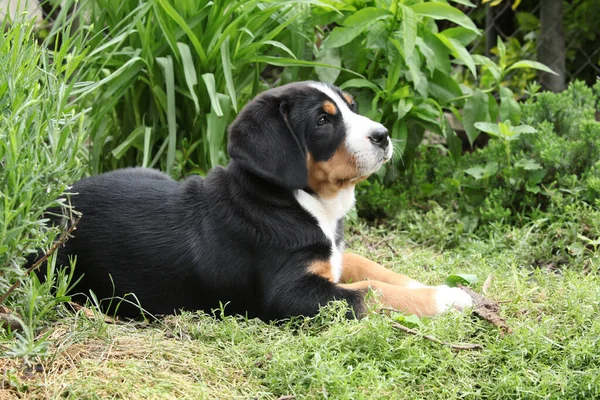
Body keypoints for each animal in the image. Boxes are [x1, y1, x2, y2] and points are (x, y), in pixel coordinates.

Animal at [43, 81, 474, 318]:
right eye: (323, 120)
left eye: (352, 107)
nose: (383, 135)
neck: (298, 201)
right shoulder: (293, 294)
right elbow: (370, 291)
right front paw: (447, 298)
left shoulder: (330, 257)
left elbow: (368, 266)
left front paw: (428, 284)